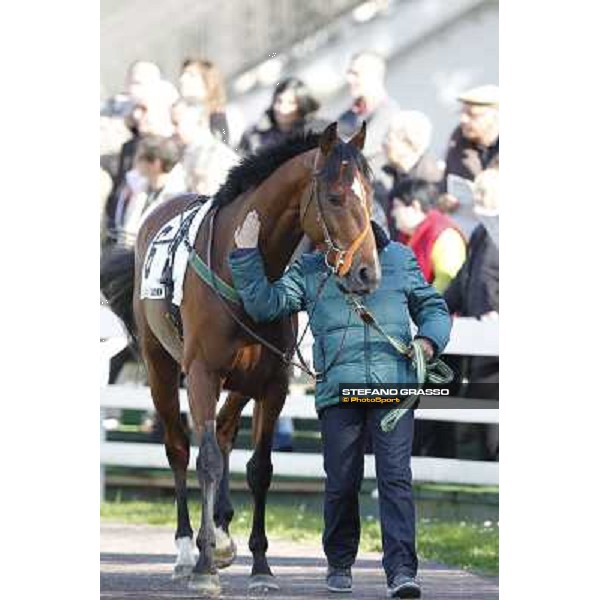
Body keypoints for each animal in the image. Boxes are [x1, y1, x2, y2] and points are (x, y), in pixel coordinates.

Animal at [100, 119, 378, 592]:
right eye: (336, 197)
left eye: (371, 194)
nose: (367, 272)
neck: (243, 265)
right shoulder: (201, 374)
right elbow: (206, 459)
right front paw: (203, 567)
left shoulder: (272, 383)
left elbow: (260, 467)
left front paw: (260, 565)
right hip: (161, 369)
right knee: (178, 448)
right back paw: (185, 550)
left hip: (241, 381)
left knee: (227, 431)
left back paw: (223, 531)